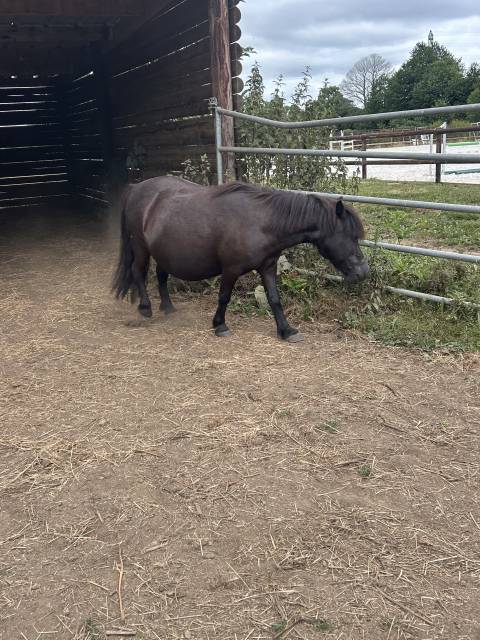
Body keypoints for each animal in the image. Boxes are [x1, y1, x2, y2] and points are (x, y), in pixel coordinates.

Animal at [112, 176, 369, 342]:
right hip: (141, 248)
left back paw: (168, 307)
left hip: (164, 252)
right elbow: (224, 297)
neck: (261, 222)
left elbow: (275, 299)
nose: (363, 272)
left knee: (161, 276)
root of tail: (136, 188)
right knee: (138, 273)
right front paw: (220, 325)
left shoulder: (268, 267)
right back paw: (146, 308)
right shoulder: (231, 270)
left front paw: (286, 330)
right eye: (350, 236)